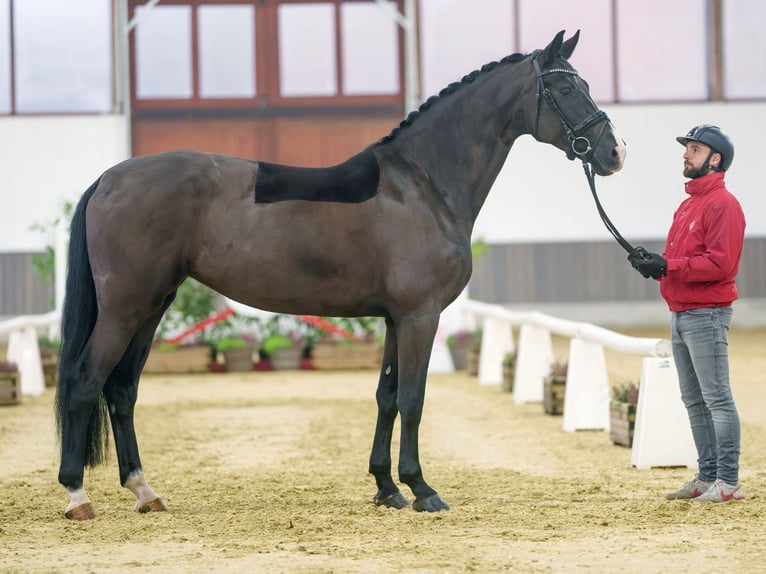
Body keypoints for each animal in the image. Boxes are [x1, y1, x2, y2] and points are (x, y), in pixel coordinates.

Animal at [57, 29, 628, 520]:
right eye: (563, 87)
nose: (614, 153)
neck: (421, 185)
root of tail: (109, 178)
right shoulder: (419, 316)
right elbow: (414, 399)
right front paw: (422, 489)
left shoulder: (396, 319)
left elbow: (386, 397)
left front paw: (386, 488)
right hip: (127, 307)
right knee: (87, 381)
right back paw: (77, 495)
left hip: (152, 305)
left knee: (122, 390)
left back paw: (144, 491)